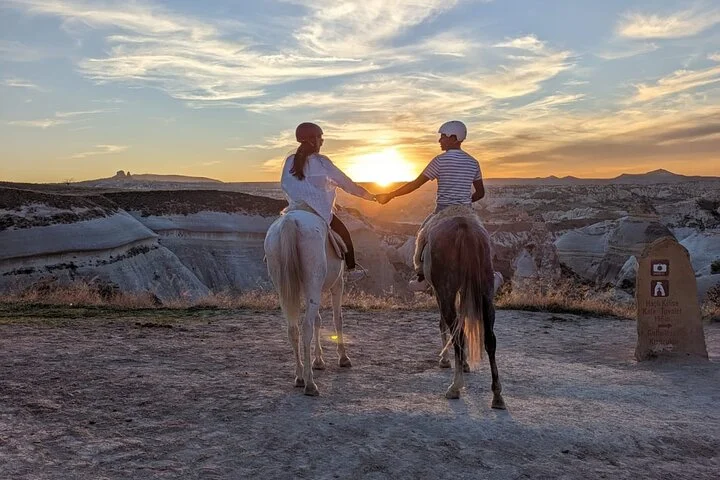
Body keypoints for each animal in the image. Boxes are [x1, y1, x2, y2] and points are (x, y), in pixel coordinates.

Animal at [264, 207, 351, 396]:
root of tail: (289, 221)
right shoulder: (338, 284)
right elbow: (337, 319)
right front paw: (343, 357)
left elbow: (319, 320)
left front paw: (318, 360)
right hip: (314, 284)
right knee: (306, 327)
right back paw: (310, 383)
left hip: (285, 289)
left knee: (293, 329)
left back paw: (299, 377)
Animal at [419, 205, 505, 408]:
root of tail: (465, 230)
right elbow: (464, 324)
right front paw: (465, 363)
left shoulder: (439, 292)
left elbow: (444, 324)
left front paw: (446, 360)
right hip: (485, 289)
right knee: (490, 339)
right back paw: (497, 395)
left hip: (446, 289)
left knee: (456, 333)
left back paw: (455, 386)